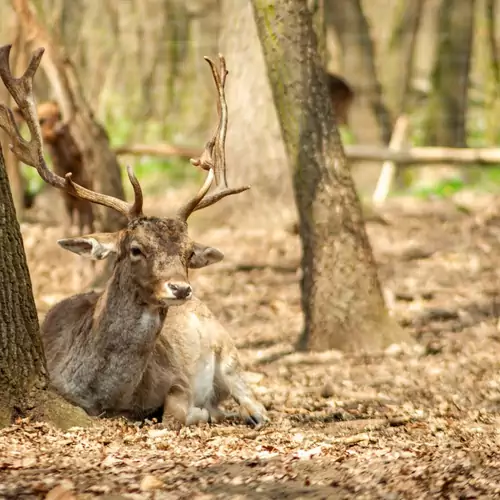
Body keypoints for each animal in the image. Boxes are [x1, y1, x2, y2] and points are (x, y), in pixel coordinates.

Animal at [0, 45, 270, 430]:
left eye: (188, 252)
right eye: (136, 249)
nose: (181, 288)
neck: (107, 397)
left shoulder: (178, 380)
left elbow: (175, 414)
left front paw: (198, 412)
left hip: (228, 349)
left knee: (254, 401)